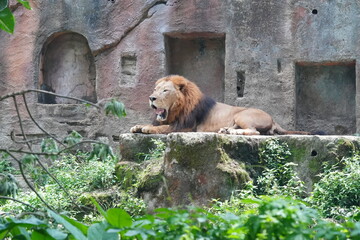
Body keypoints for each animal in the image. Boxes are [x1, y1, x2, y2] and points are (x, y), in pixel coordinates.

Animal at [131, 75, 310, 135]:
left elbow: (164, 127)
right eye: (155, 89)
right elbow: (157, 124)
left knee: (254, 132)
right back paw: (227, 130)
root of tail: (273, 119)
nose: (151, 98)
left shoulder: (188, 127)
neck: (177, 110)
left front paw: (147, 128)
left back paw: (233, 132)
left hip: (242, 115)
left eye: (165, 91)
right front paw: (138, 126)